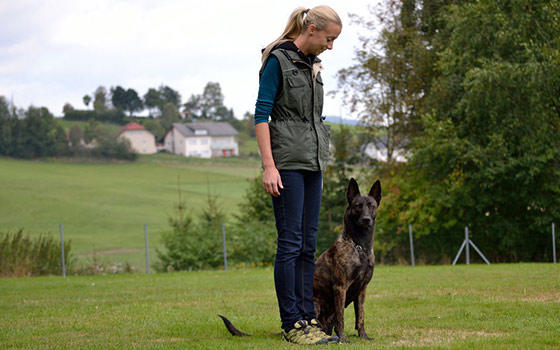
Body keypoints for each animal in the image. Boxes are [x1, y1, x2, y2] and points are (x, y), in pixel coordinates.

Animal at [312, 178, 378, 342]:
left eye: (371, 206)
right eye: (358, 206)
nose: (366, 220)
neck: (360, 246)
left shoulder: (362, 289)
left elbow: (360, 316)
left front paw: (363, 336)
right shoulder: (340, 287)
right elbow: (340, 317)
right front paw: (342, 338)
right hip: (315, 304)